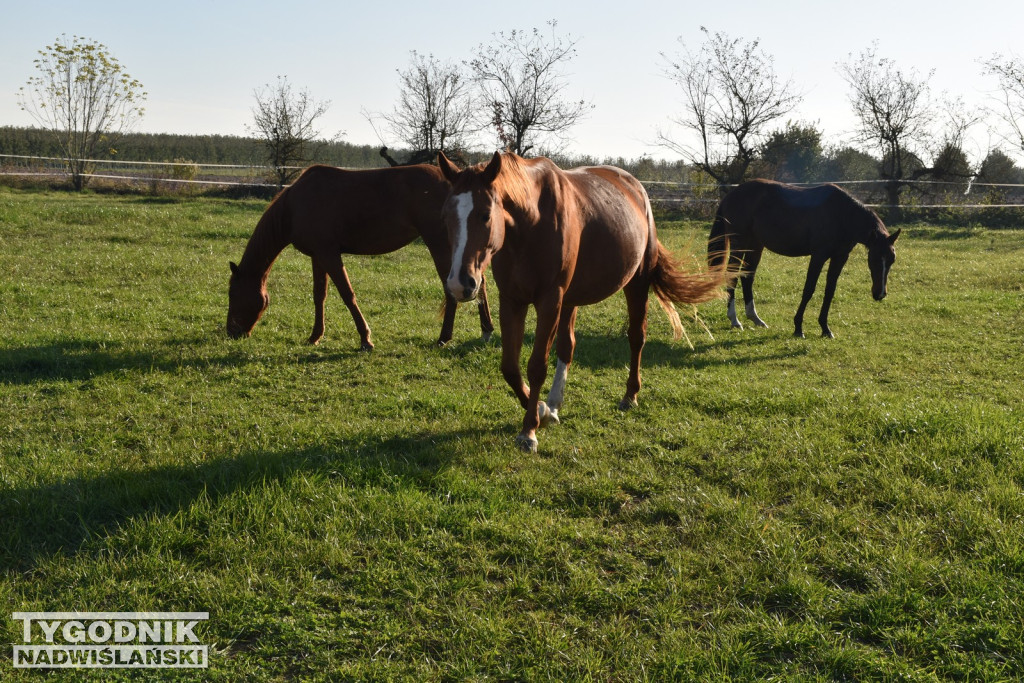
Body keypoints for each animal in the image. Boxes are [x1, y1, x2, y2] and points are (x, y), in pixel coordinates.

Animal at [225, 163, 495, 350]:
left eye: (233, 294)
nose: (231, 332)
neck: (294, 206)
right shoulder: (318, 256)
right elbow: (319, 295)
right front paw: (315, 336)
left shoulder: (329, 254)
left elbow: (347, 294)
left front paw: (365, 339)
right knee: (478, 284)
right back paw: (486, 330)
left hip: (439, 244)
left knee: (454, 288)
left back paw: (444, 337)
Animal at [440, 153, 729, 454]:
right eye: (446, 216)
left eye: (486, 215)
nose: (460, 283)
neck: (530, 224)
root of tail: (637, 188)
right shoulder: (512, 300)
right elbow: (510, 367)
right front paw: (541, 409)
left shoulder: (549, 300)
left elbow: (536, 366)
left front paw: (529, 430)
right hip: (570, 300)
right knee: (567, 346)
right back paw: (554, 405)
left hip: (636, 284)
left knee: (636, 337)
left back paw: (630, 396)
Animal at [708, 179, 901, 339]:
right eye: (874, 259)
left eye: (892, 260)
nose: (880, 294)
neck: (843, 215)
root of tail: (732, 194)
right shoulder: (819, 256)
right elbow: (809, 289)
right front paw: (798, 328)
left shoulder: (840, 257)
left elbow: (830, 291)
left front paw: (825, 329)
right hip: (739, 243)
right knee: (732, 275)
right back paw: (735, 320)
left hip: (755, 245)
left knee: (747, 277)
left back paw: (755, 319)